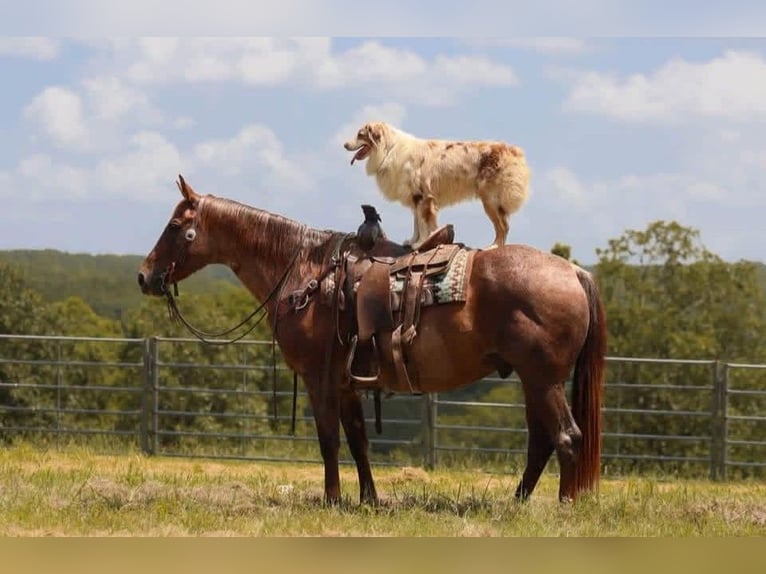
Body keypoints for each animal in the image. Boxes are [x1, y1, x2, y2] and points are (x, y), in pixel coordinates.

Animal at [137, 175, 606, 505]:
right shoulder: (347, 383)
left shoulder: (319, 379)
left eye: (176, 225)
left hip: (542, 379)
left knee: (567, 437)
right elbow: (359, 440)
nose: (144, 276)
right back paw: (518, 503)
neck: (306, 275)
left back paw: (564, 505)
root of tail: (572, 271)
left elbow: (328, 439)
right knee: (541, 442)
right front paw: (369, 499)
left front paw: (332, 499)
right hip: (532, 380)